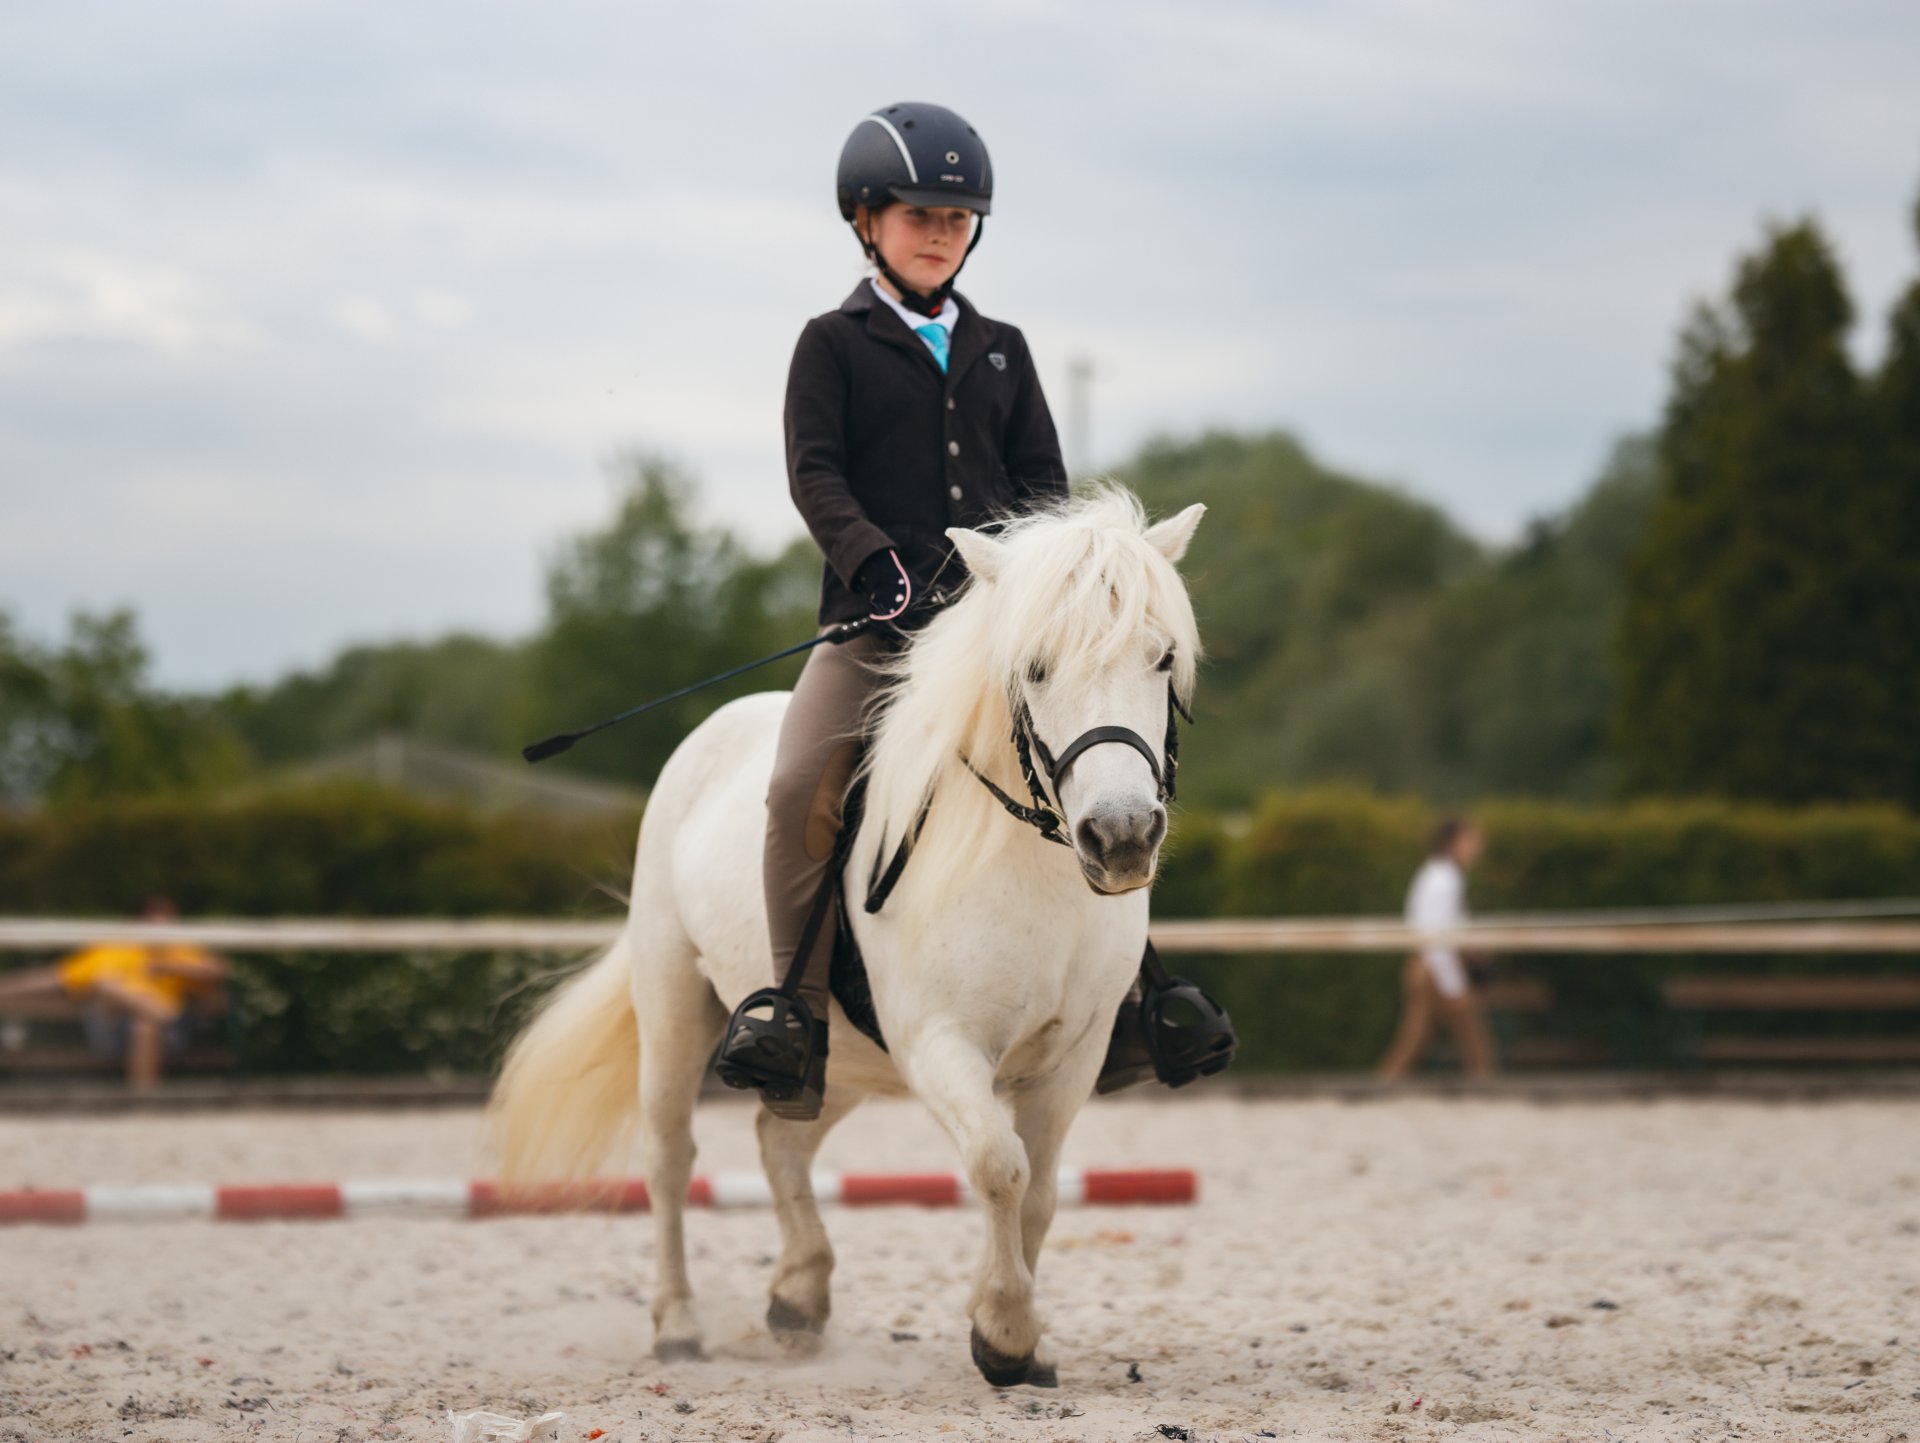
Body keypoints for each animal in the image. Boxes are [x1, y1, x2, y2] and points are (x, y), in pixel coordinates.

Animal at [491, 495, 1198, 1389]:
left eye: (1162, 657)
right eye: (1034, 666)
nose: (1121, 836)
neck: (1023, 865)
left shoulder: (1074, 1052)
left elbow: (1038, 1190)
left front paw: (1019, 1335)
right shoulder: (941, 1043)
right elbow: (999, 1164)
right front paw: (1002, 1333)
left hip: (845, 1054)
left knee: (780, 1137)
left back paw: (799, 1294)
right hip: (675, 1004)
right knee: (670, 1156)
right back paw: (680, 1325)